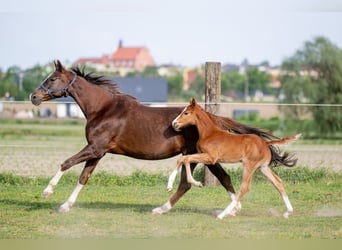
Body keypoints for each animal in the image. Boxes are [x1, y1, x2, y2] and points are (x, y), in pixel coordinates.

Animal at [170, 97, 300, 219]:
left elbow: (185, 159)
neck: (210, 134)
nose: (174, 124)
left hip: (249, 166)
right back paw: (288, 212)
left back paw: (223, 214)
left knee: (245, 188)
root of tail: (265, 143)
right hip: (262, 167)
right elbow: (184, 159)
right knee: (277, 182)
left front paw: (195, 183)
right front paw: (174, 184)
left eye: (186, 113)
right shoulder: (205, 156)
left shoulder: (211, 158)